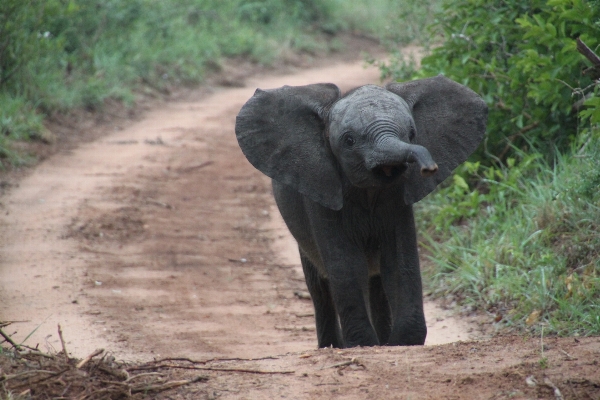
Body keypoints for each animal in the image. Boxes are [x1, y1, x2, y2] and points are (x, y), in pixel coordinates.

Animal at [234, 76, 488, 346]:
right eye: (349, 141)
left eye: (412, 133)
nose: (429, 168)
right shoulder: (321, 190)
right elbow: (348, 265)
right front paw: (363, 343)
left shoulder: (397, 198)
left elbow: (398, 261)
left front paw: (403, 342)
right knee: (320, 286)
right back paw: (333, 346)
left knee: (375, 282)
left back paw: (382, 340)